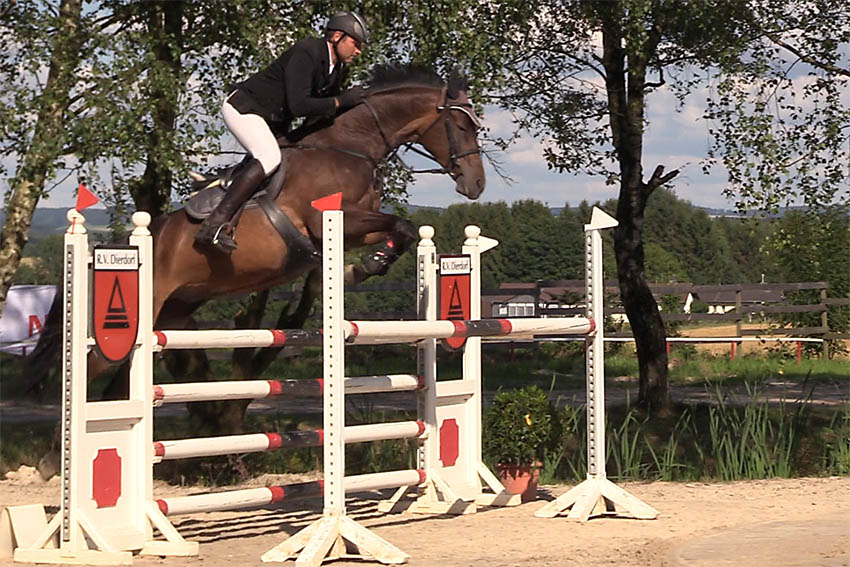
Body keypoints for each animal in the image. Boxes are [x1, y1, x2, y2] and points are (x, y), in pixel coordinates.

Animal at [24, 64, 484, 402]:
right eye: (462, 128)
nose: (476, 185)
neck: (350, 146)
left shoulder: (353, 228)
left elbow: (401, 231)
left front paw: (363, 267)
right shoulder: (330, 220)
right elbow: (398, 225)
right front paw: (363, 268)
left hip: (171, 312)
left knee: (117, 388)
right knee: (91, 372)